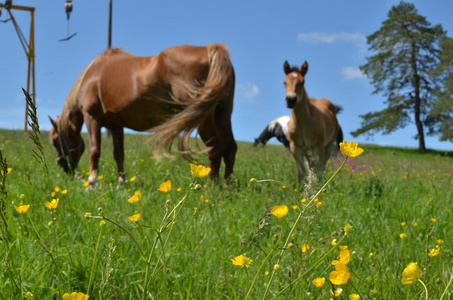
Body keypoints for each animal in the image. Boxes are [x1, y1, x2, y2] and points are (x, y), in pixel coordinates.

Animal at [49, 42, 237, 183]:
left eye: (55, 141)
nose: (63, 169)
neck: (93, 74)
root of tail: (211, 50)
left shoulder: (92, 118)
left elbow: (94, 150)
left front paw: (92, 182)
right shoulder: (115, 125)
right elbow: (119, 154)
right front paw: (121, 182)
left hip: (203, 119)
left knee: (215, 148)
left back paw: (211, 188)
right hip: (223, 115)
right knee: (230, 148)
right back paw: (227, 186)